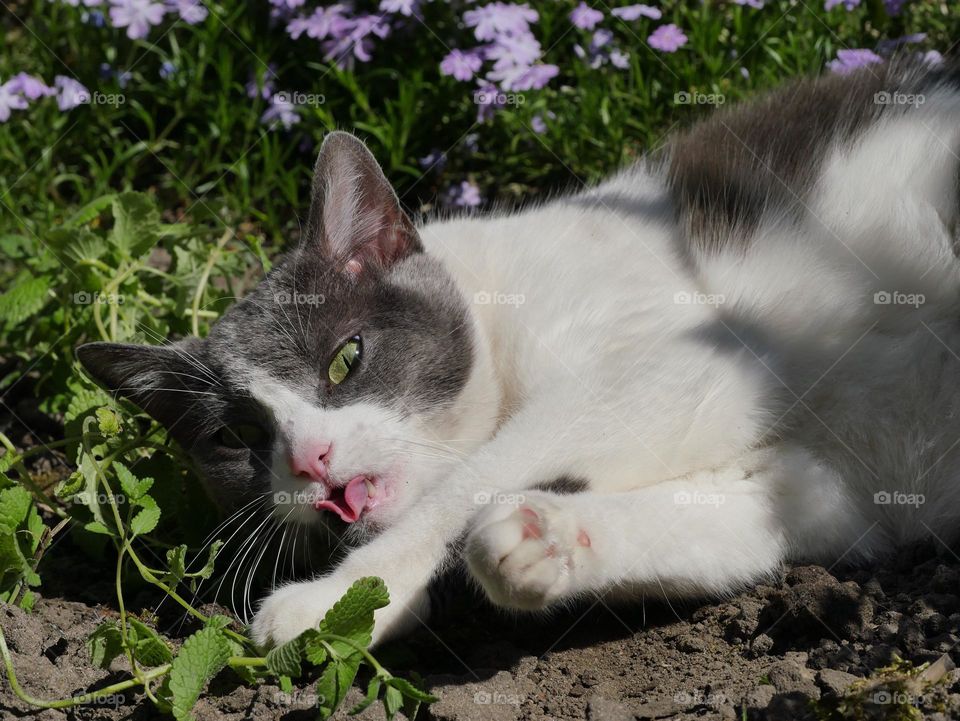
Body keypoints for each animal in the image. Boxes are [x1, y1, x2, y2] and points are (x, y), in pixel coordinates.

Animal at [79, 57, 960, 648]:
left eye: (344, 358)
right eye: (235, 437)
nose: (310, 458)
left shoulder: (701, 359)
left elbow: (473, 477)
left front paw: (331, 598)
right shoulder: (831, 484)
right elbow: (737, 520)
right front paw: (544, 541)